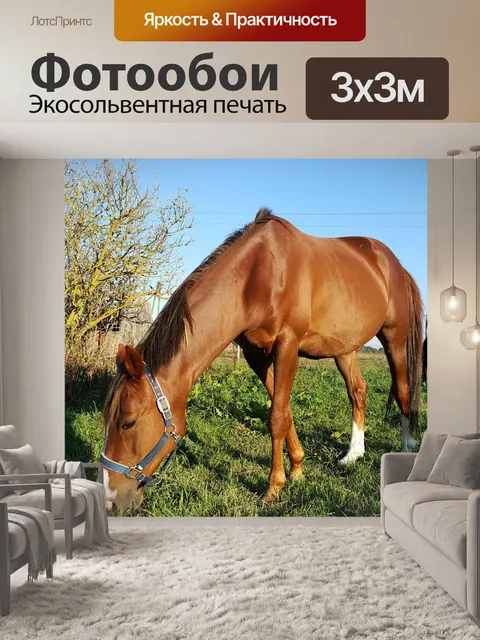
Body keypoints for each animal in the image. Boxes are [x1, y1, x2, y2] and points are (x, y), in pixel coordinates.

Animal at [101, 208, 424, 510]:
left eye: (128, 423)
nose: (111, 498)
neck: (256, 275)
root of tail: (394, 263)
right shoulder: (257, 355)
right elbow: (285, 411)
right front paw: (297, 470)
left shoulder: (287, 346)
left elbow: (276, 418)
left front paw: (273, 487)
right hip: (344, 347)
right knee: (358, 391)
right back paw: (352, 455)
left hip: (395, 337)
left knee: (403, 390)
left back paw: (408, 451)